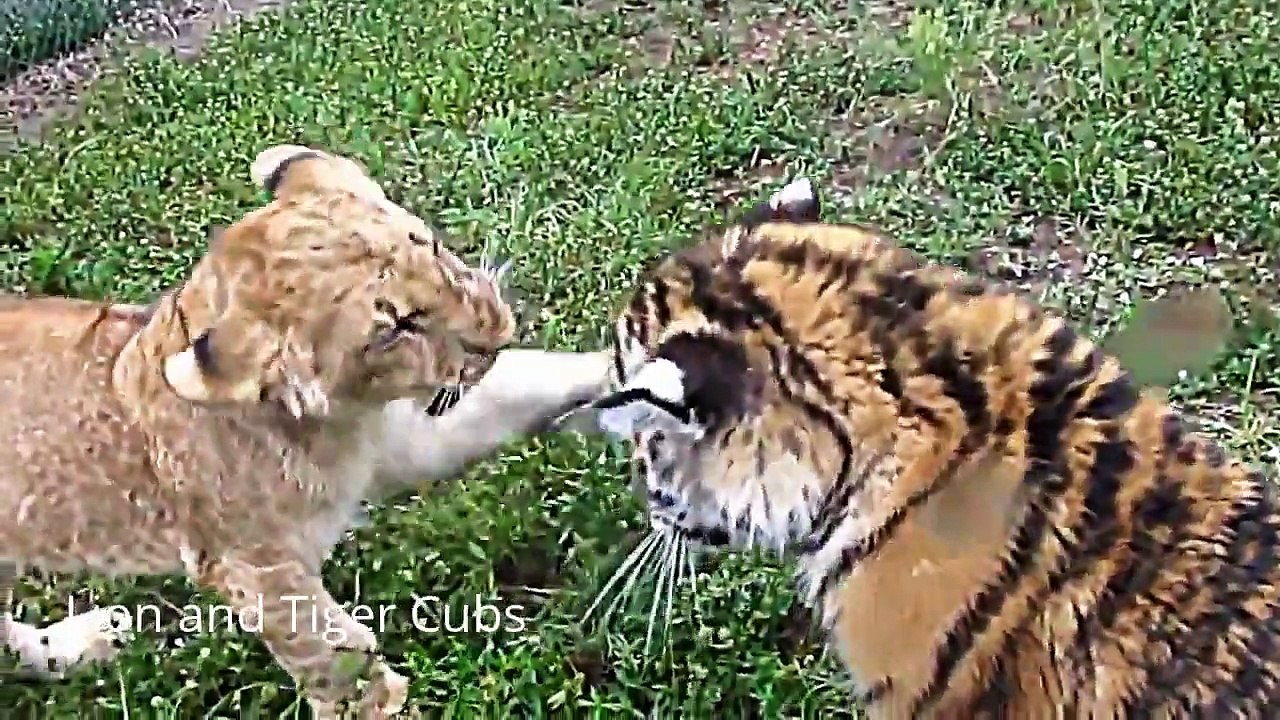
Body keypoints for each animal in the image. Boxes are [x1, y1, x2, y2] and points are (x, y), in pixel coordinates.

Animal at [0, 144, 610, 718]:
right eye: (396, 328)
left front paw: (622, 370)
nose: (497, 329)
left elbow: (524, 388)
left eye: (430, 246)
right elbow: (340, 664)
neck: (333, 420)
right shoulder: (253, 569)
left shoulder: (393, 440)